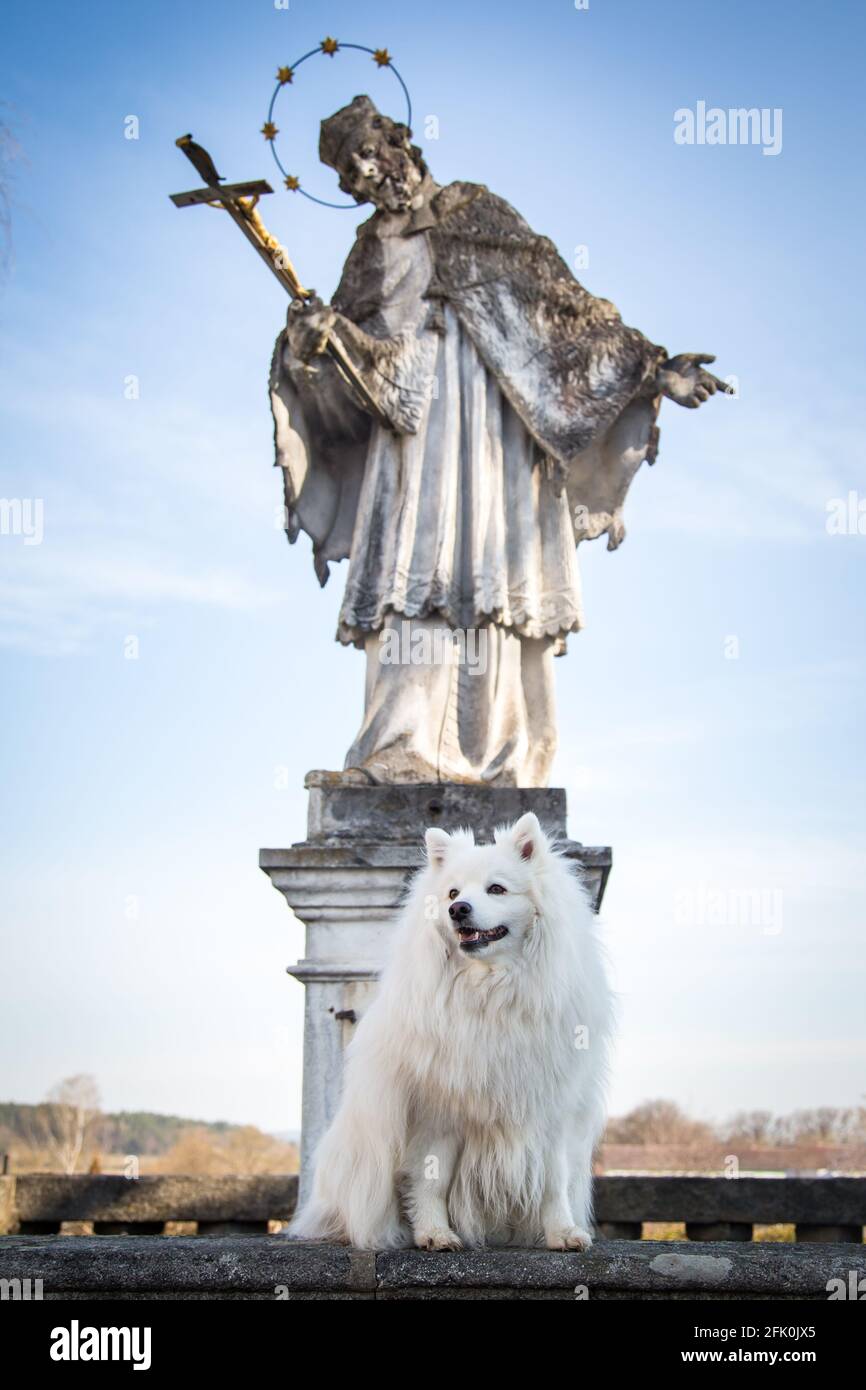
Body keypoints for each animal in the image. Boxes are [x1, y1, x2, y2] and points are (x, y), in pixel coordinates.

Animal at [287, 811, 614, 1256]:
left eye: (496, 889)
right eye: (453, 893)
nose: (459, 909)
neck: (492, 989)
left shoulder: (550, 1108)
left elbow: (554, 1180)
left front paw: (562, 1232)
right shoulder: (436, 1111)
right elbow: (431, 1180)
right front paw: (434, 1234)